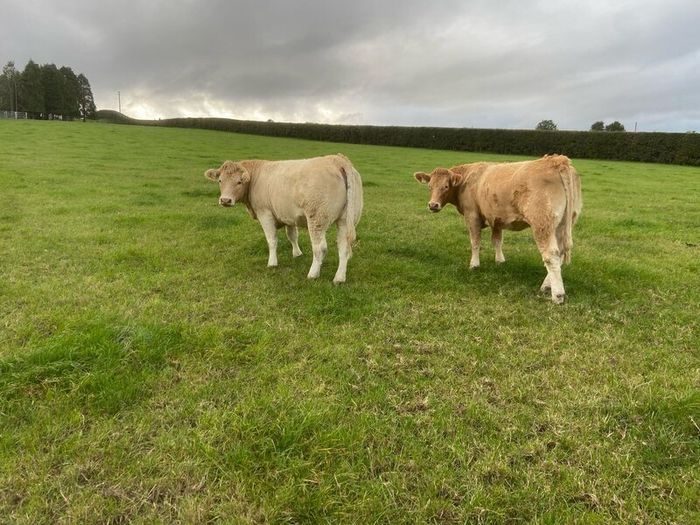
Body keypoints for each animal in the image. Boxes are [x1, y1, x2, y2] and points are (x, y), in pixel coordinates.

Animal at [205, 154, 363, 284]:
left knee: (320, 248)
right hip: (345, 220)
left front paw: (272, 263)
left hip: (317, 218)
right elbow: (292, 236)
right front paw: (297, 254)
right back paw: (339, 278)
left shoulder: (265, 213)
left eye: (239, 182)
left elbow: (272, 240)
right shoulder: (288, 216)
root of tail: (337, 159)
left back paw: (313, 274)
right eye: (220, 180)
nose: (225, 200)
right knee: (343, 246)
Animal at [414, 155, 582, 304]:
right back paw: (547, 286)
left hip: (542, 223)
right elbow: (497, 241)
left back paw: (557, 295)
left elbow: (475, 242)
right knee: (560, 253)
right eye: (429, 187)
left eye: (446, 186)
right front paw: (500, 261)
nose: (433, 205)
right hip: (562, 224)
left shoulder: (472, 215)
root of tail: (557, 160)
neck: (467, 179)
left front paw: (474, 265)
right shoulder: (496, 219)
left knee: (551, 255)